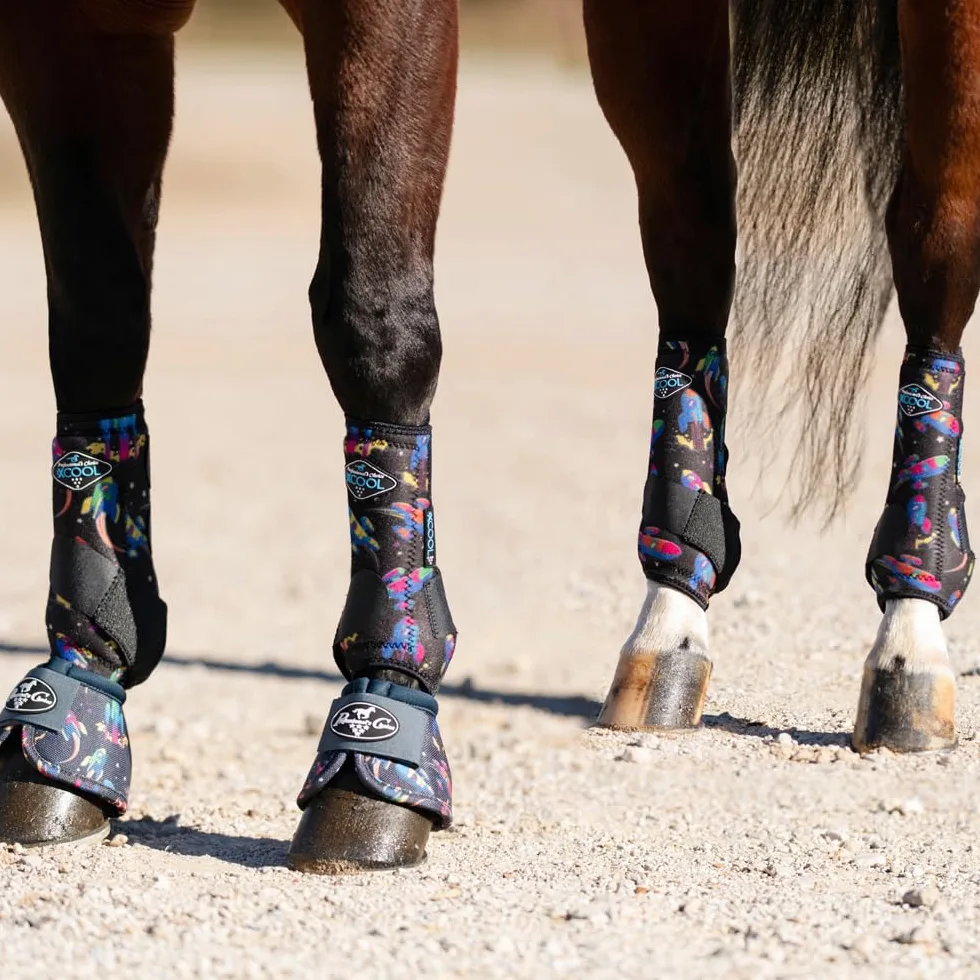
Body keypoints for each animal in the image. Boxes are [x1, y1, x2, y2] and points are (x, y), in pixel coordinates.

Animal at [0, 0, 975, 875]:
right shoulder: (66, 28)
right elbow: (95, 326)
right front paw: (76, 696)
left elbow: (373, 315)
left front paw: (379, 735)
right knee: (694, 226)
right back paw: (673, 618)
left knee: (933, 232)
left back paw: (911, 627)